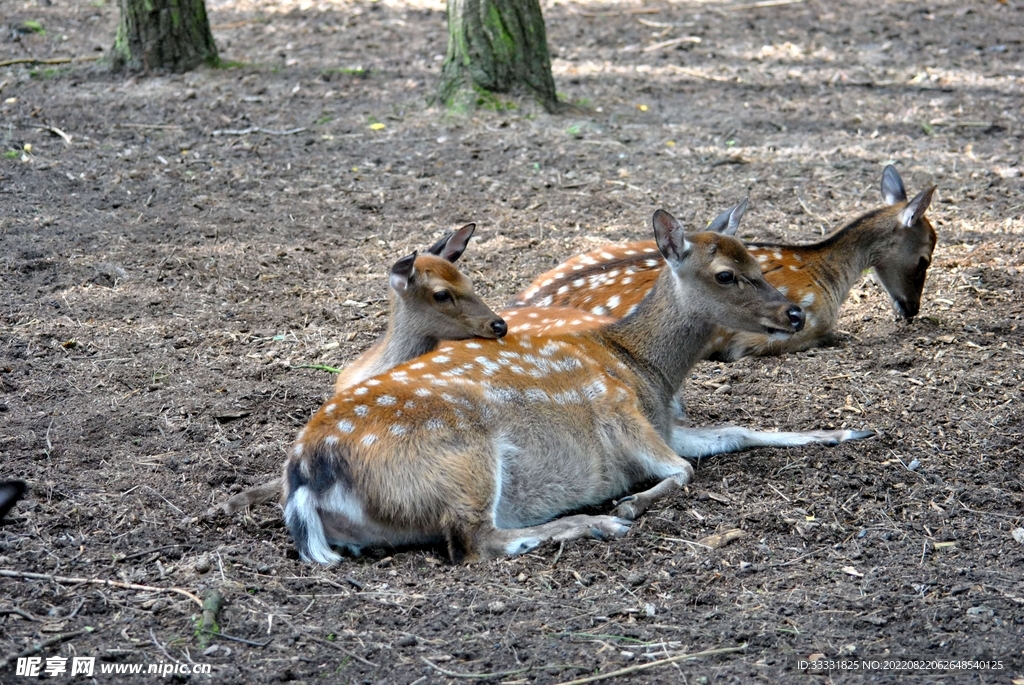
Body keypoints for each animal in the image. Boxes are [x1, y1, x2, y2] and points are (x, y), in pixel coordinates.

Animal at [281, 209, 873, 565]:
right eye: (726, 273)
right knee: (474, 541)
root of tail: (307, 476)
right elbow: (683, 471)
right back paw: (595, 524)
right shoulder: (622, 416)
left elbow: (739, 430)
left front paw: (852, 432)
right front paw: (629, 506)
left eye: (757, 257)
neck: (644, 368)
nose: (794, 313)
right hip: (463, 461)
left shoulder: (664, 425)